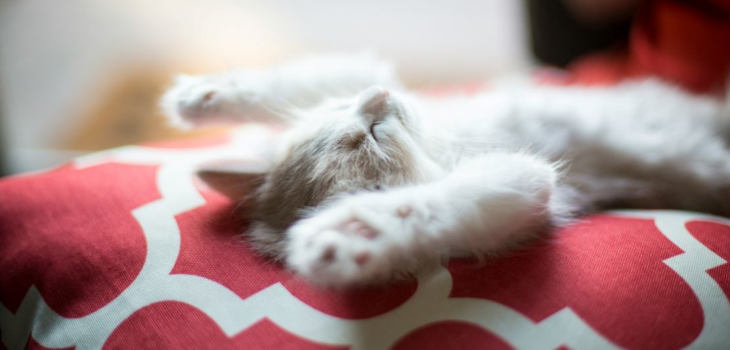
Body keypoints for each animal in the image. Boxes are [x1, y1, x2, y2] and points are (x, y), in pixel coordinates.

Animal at [161, 52, 728, 288]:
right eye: (374, 133)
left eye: (352, 112)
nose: (379, 98)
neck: (441, 142)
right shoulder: (529, 181)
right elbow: (426, 204)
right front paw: (353, 232)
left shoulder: (367, 77)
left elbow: (309, 79)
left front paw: (202, 95)